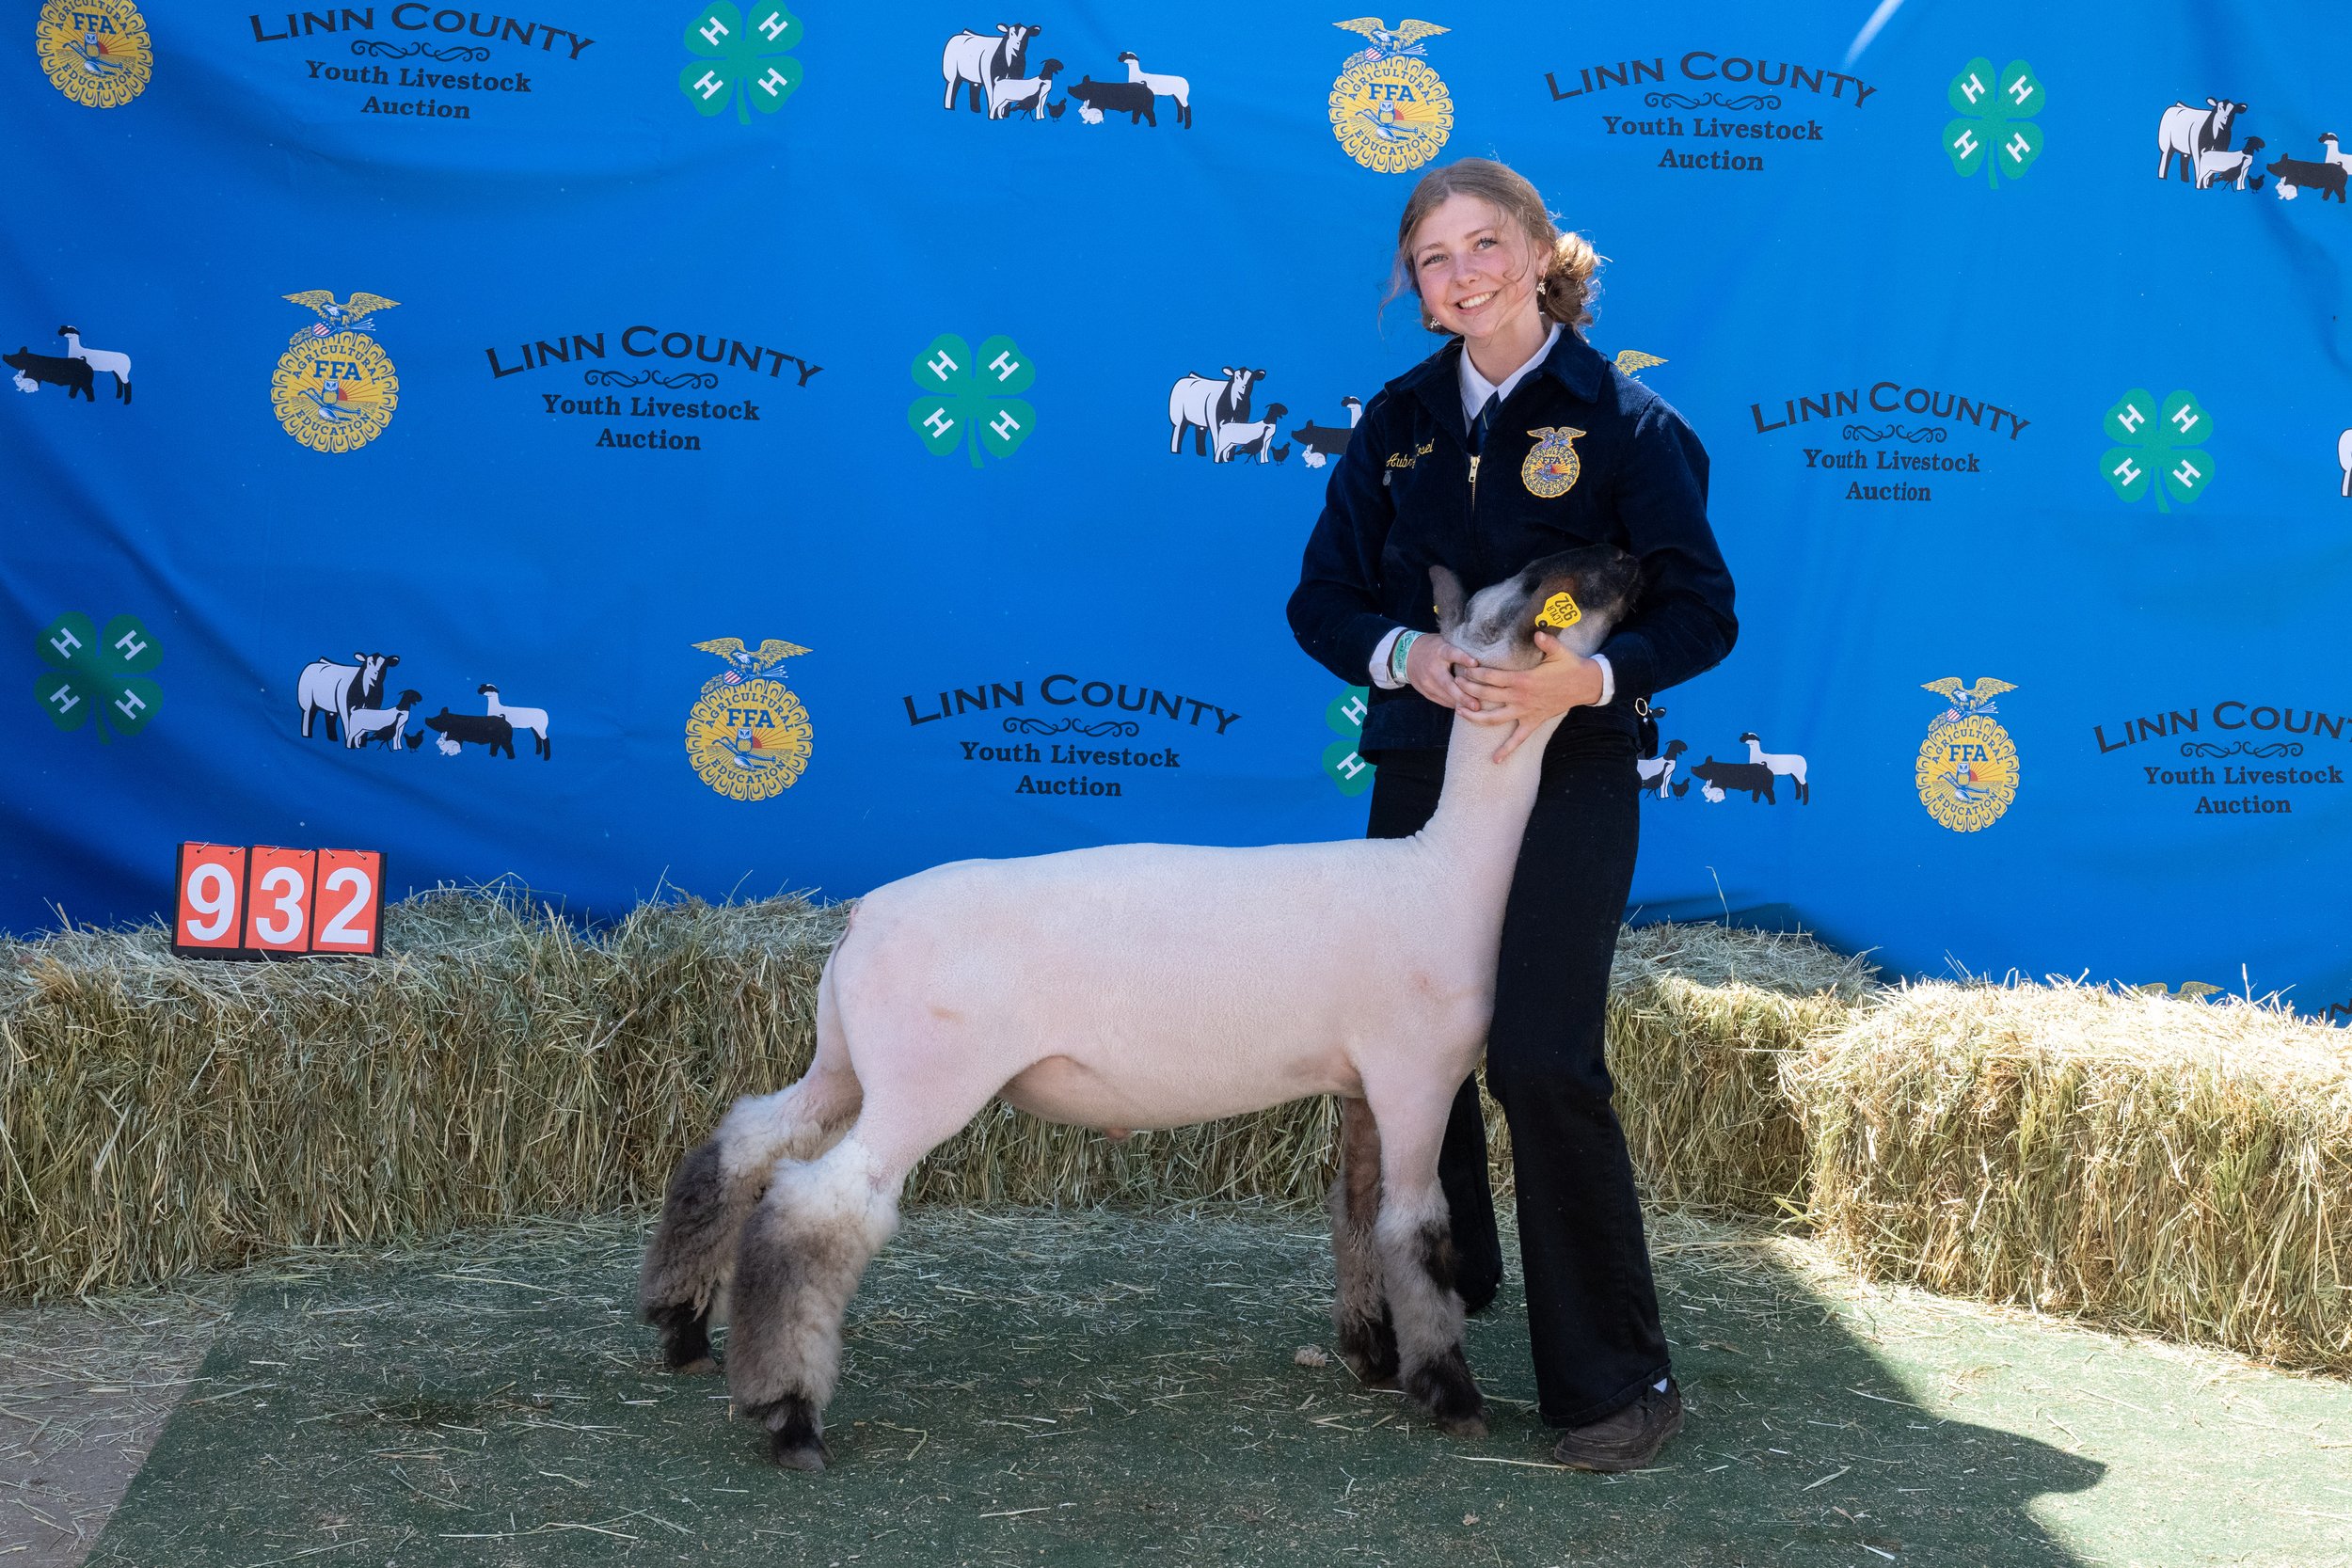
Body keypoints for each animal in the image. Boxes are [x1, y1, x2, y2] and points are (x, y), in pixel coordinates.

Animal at [638, 546, 1644, 1473]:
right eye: (1539, 593)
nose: (1630, 559)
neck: (1444, 871)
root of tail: (860, 919)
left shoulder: (1360, 1085)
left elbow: (1357, 1215)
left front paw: (1372, 1351)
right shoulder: (1415, 1076)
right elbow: (1418, 1230)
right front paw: (1448, 1391)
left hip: (844, 1061)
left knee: (746, 1141)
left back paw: (682, 1328)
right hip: (923, 1082)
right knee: (817, 1206)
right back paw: (789, 1418)